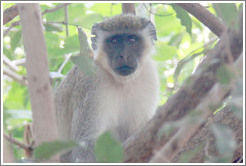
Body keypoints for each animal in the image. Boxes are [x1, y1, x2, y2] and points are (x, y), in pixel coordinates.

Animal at [54, 14, 160, 162]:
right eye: (114, 41)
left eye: (132, 40)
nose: (124, 55)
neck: (122, 82)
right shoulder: (92, 80)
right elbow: (84, 145)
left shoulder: (149, 77)